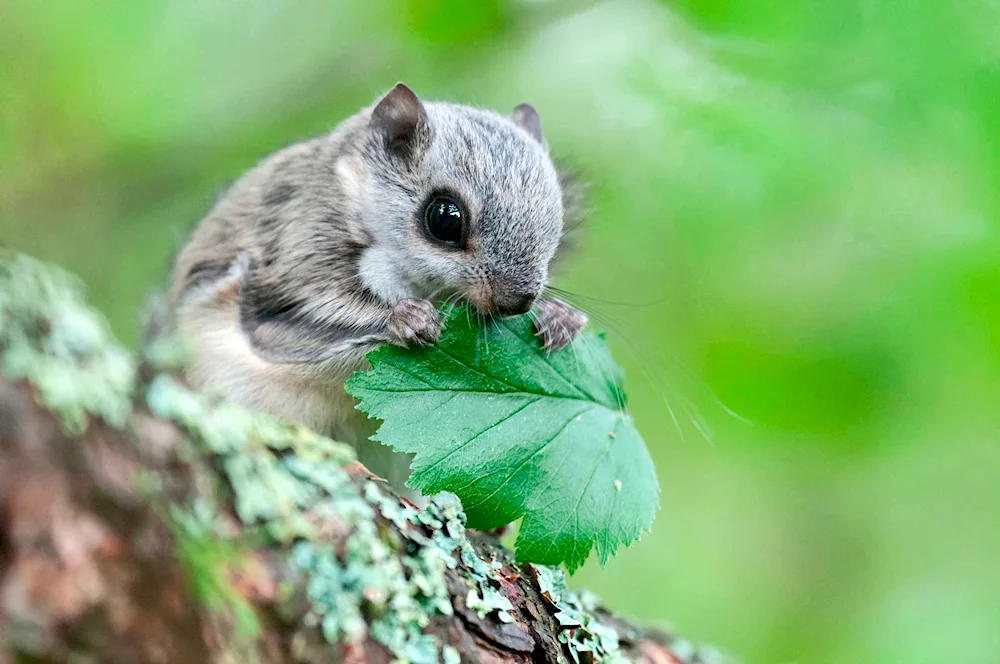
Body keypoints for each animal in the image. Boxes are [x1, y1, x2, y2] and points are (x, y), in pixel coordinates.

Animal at [168, 81, 588, 488]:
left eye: (557, 219)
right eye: (445, 218)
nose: (517, 302)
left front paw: (560, 317)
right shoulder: (293, 265)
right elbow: (296, 330)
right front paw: (407, 319)